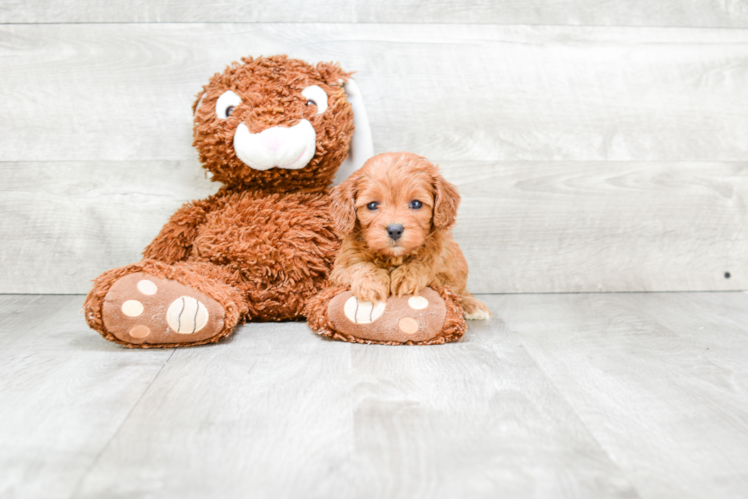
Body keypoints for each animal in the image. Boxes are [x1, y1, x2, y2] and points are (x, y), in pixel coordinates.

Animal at [330, 150, 494, 320]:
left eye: (416, 204)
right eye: (372, 205)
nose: (394, 230)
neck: (394, 257)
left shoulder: (443, 264)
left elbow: (426, 264)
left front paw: (406, 277)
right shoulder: (338, 271)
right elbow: (359, 266)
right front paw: (371, 284)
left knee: (460, 291)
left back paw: (471, 304)